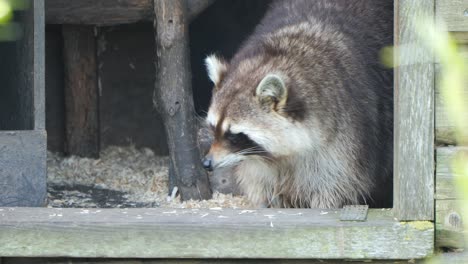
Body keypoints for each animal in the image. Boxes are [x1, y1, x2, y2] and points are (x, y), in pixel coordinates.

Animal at [200, 1, 392, 209]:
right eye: (213, 128)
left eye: (235, 136)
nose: (207, 163)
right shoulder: (256, 160)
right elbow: (262, 184)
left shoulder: (346, 135)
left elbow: (333, 187)